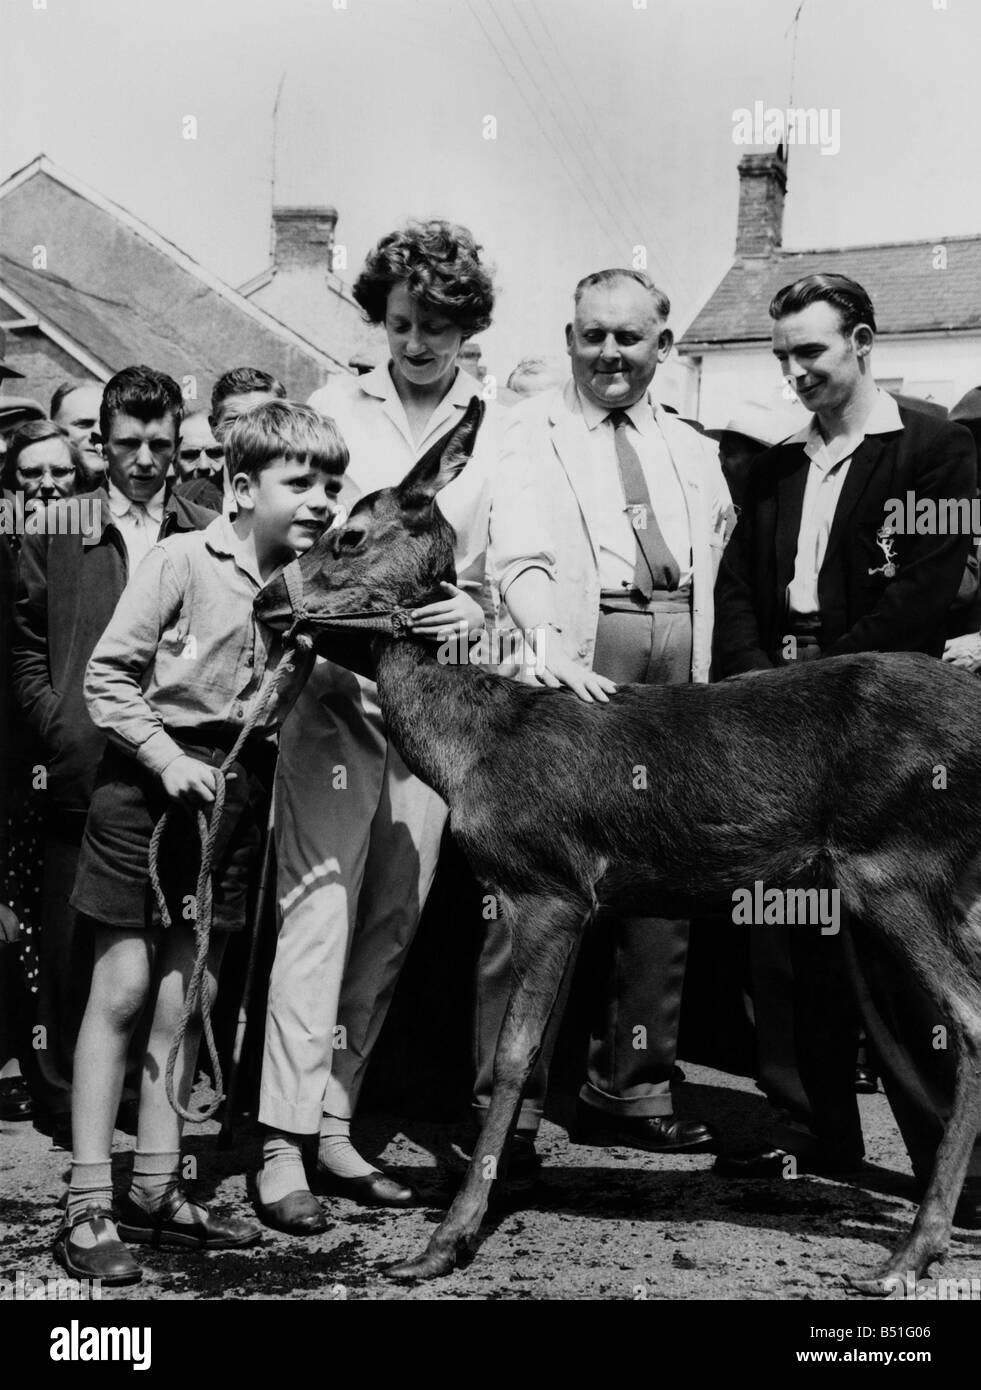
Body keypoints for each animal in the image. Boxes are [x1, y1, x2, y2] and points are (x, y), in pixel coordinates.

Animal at [250, 400, 978, 1289]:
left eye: (346, 535)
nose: (264, 600)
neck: (469, 751)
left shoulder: (550, 885)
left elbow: (513, 1052)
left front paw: (446, 1239)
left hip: (891, 862)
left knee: (968, 1018)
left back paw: (915, 1245)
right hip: (945, 880)